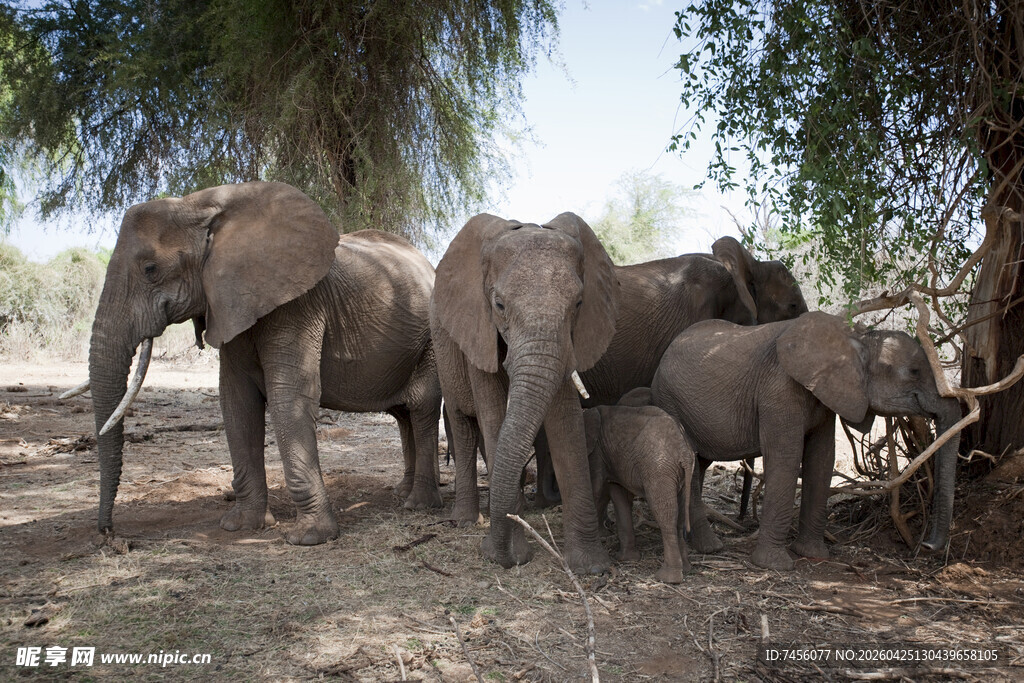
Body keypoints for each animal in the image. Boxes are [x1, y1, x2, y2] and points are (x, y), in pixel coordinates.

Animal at [85, 181, 442, 544]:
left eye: (150, 269)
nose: (108, 533)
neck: (201, 204)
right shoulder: (230, 304)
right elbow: (237, 401)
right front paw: (242, 526)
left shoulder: (297, 303)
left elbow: (287, 397)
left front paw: (309, 538)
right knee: (404, 416)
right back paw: (402, 493)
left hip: (431, 341)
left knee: (422, 408)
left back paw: (418, 505)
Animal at [430, 212, 619, 573]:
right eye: (499, 305)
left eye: (578, 304)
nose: (492, 553)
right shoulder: (478, 328)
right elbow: (492, 416)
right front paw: (507, 555)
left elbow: (566, 423)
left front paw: (592, 567)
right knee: (464, 425)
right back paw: (467, 521)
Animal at [583, 403, 695, 584]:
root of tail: (684, 451)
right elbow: (619, 495)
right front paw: (626, 559)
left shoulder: (598, 452)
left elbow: (597, 489)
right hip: (682, 473)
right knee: (680, 513)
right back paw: (685, 569)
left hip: (659, 470)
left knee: (665, 514)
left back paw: (668, 578)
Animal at [651, 311, 962, 570]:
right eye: (914, 372)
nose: (925, 545)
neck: (855, 341)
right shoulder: (778, 390)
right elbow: (786, 460)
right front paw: (775, 565)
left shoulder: (826, 397)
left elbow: (821, 459)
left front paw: (813, 555)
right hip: (670, 400)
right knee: (691, 464)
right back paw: (711, 548)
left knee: (699, 464)